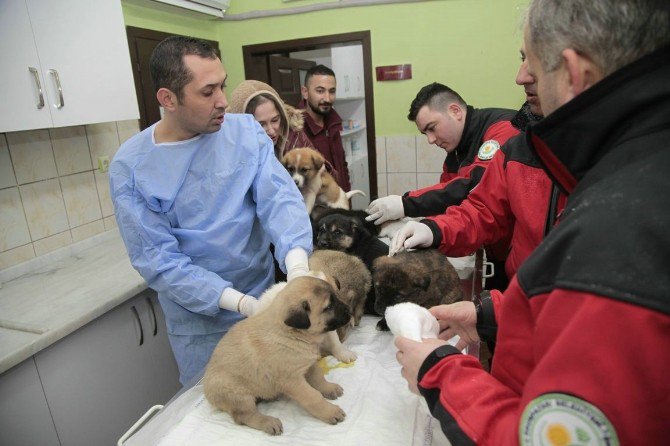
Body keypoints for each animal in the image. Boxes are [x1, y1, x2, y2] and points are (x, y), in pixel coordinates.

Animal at [205, 276, 352, 436]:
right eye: (329, 307)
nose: (349, 310)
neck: (291, 333)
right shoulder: (293, 382)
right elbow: (313, 397)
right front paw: (330, 411)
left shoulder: (309, 364)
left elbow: (318, 378)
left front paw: (328, 388)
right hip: (239, 396)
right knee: (244, 416)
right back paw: (269, 422)